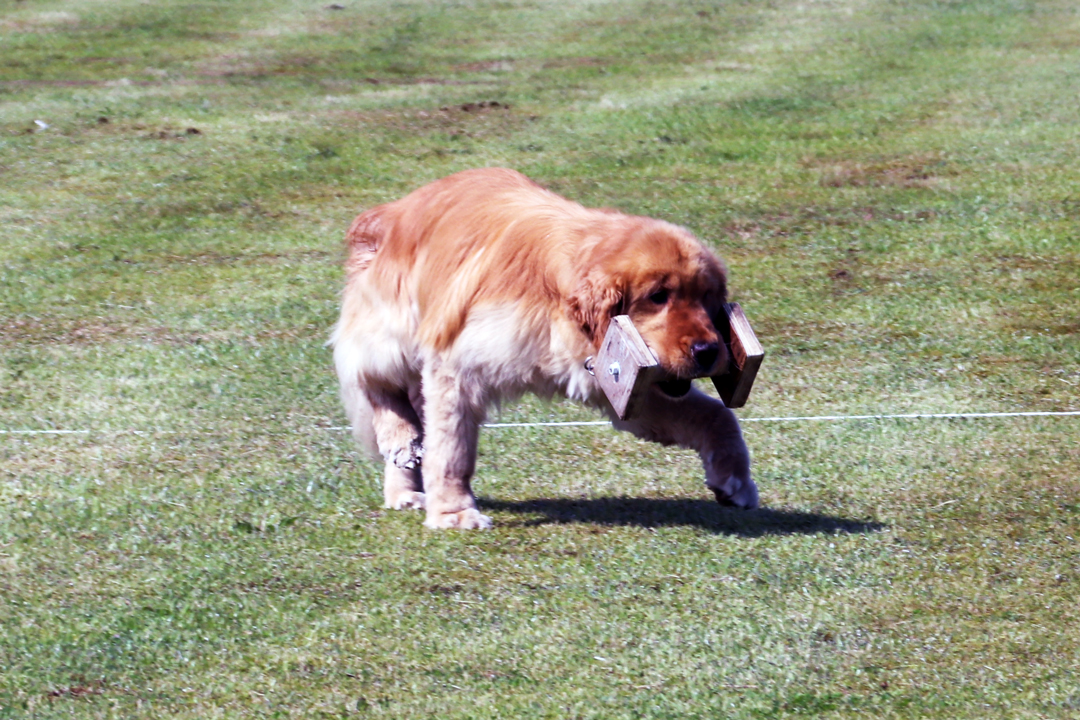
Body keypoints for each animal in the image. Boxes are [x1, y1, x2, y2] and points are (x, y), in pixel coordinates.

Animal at [330, 169, 760, 528]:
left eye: (707, 298)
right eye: (658, 296)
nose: (708, 350)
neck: (559, 300)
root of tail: (394, 209)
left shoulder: (624, 387)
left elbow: (718, 417)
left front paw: (734, 480)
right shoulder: (456, 368)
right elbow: (452, 450)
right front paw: (454, 512)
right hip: (394, 334)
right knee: (372, 379)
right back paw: (400, 442)